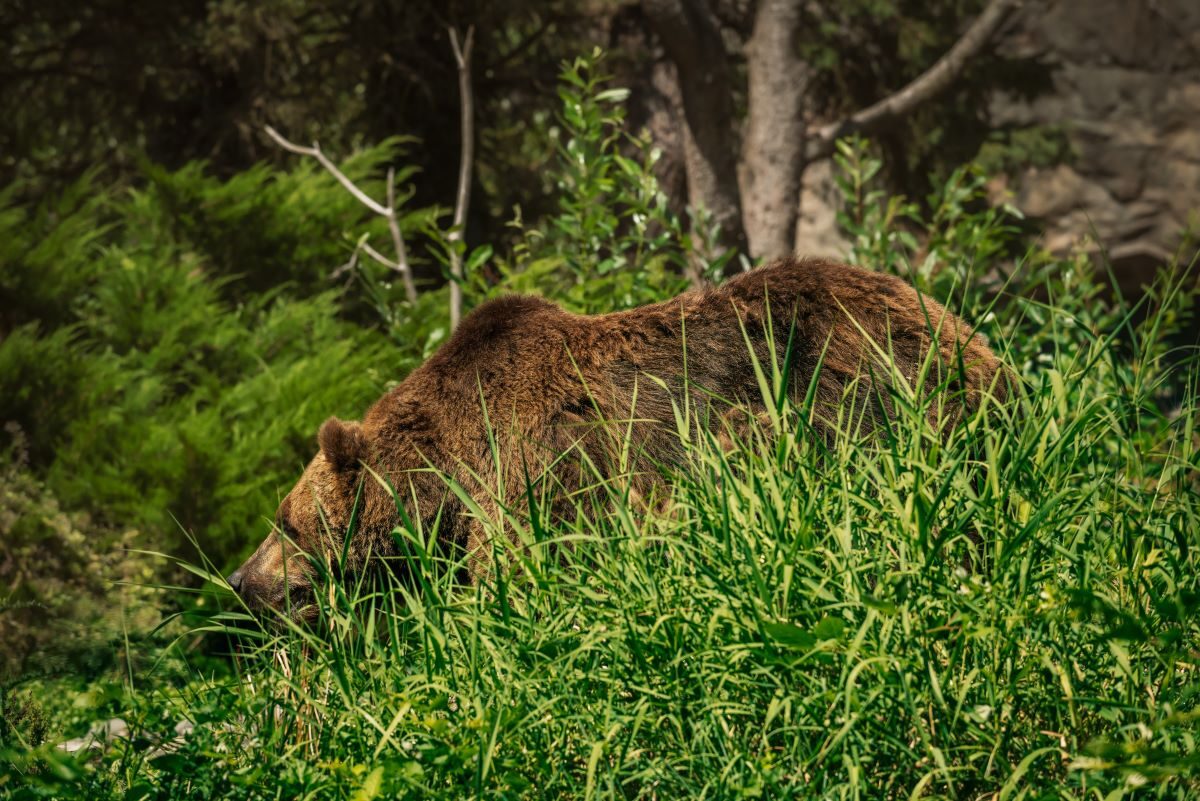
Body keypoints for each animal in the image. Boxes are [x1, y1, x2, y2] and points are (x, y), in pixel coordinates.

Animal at [226, 256, 1006, 618]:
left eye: (285, 521)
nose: (240, 579)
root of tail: (976, 345)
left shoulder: (533, 469)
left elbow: (524, 571)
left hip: (857, 394)